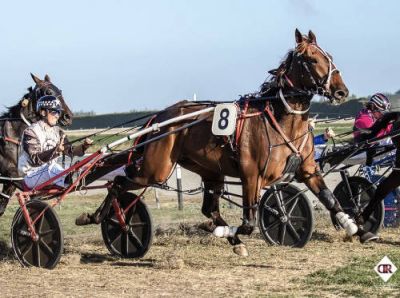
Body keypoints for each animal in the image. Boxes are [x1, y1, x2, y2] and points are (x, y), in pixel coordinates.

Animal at [81, 29, 362, 255]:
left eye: (330, 56)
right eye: (312, 59)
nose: (341, 91)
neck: (280, 119)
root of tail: (159, 117)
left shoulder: (308, 170)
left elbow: (330, 199)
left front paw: (356, 226)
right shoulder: (251, 175)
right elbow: (249, 223)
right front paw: (226, 232)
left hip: (209, 172)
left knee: (209, 209)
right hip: (155, 169)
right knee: (118, 182)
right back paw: (101, 217)